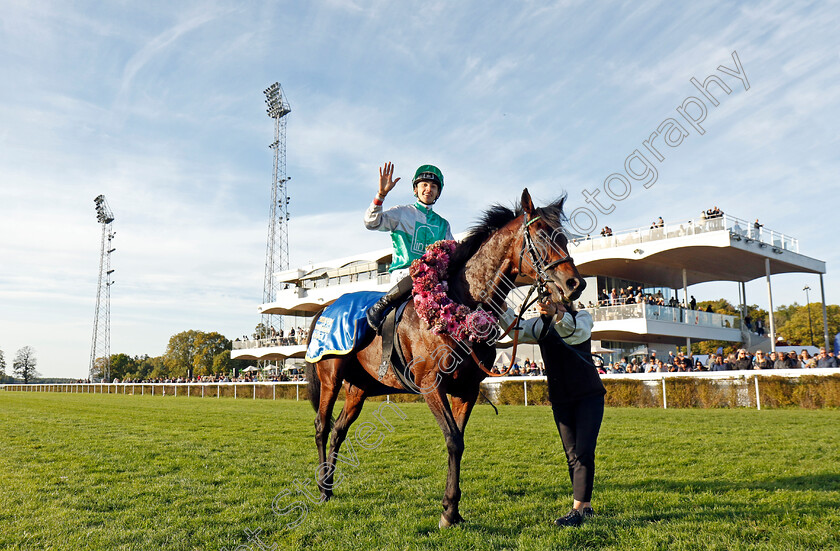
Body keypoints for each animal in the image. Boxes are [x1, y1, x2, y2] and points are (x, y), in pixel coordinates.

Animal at [304, 191, 584, 532]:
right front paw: (448, 512)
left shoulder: (467, 389)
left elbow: (460, 441)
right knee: (321, 426)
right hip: (330, 376)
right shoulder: (431, 384)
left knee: (338, 430)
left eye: (565, 237)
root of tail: (326, 308)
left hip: (359, 387)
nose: (575, 284)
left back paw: (329, 486)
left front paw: (453, 509)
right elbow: (452, 440)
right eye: (542, 235)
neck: (462, 302)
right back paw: (321, 490)